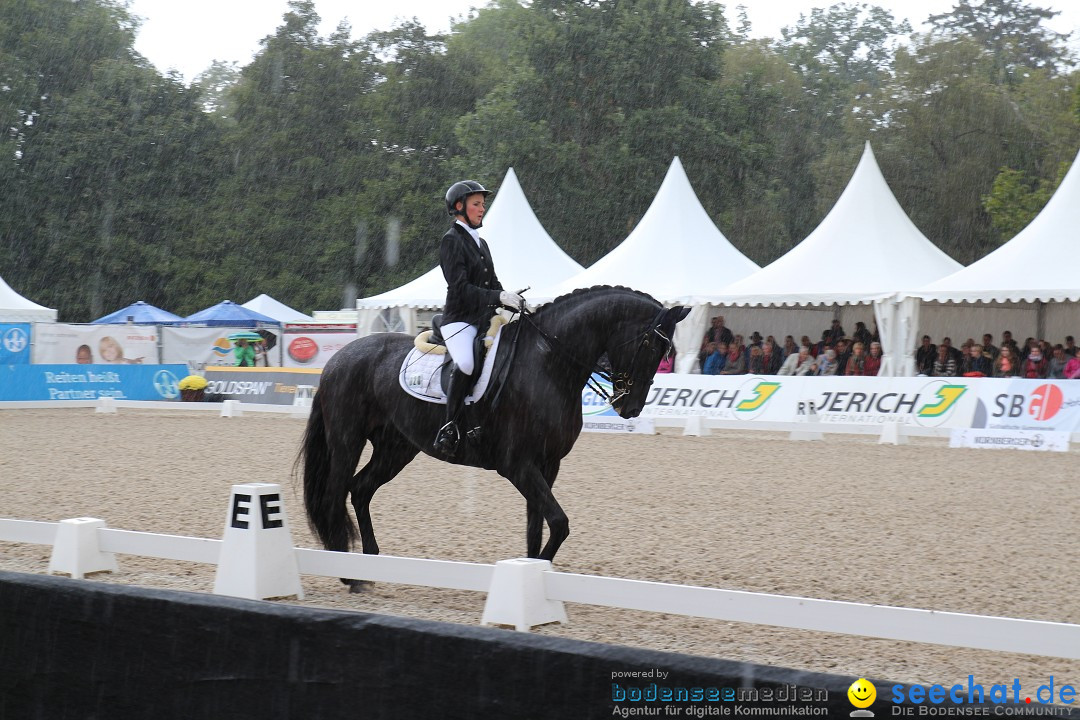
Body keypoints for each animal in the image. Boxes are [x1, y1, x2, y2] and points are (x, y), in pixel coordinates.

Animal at [300, 284, 686, 578]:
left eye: (666, 351)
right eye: (650, 345)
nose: (630, 407)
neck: (547, 364)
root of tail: (338, 359)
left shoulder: (547, 464)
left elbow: (537, 526)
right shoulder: (517, 465)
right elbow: (559, 522)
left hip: (396, 448)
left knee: (361, 490)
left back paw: (369, 563)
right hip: (348, 440)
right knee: (335, 495)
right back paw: (347, 572)